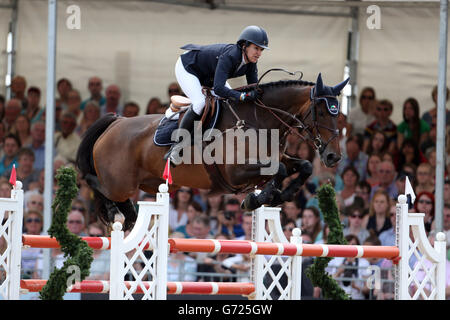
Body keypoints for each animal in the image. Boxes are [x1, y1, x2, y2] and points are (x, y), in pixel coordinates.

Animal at [76, 72, 348, 230]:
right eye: (321, 111)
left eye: (339, 114)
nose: (333, 156)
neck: (259, 120)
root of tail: (116, 122)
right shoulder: (235, 172)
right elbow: (279, 170)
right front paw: (257, 198)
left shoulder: (275, 159)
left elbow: (304, 166)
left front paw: (279, 195)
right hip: (120, 182)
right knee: (95, 182)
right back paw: (119, 213)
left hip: (150, 183)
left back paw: (129, 214)